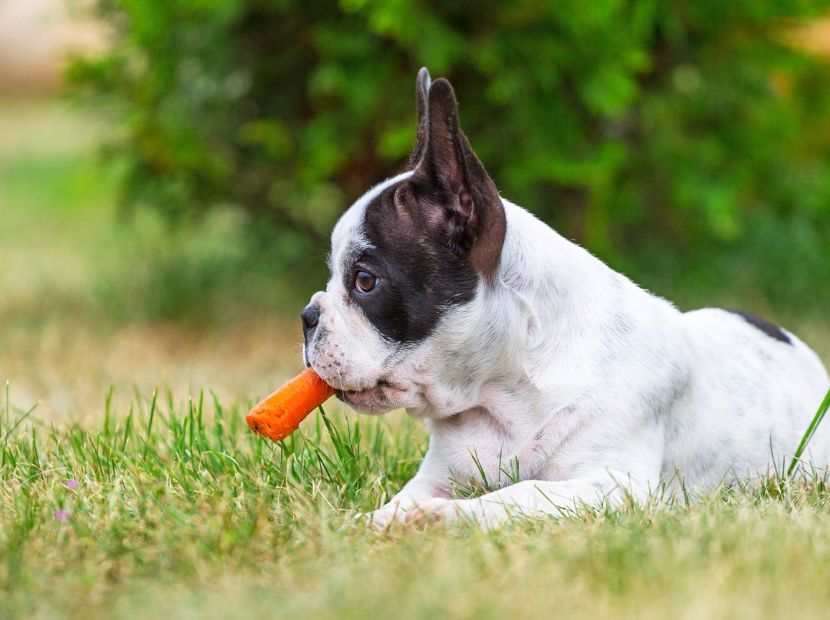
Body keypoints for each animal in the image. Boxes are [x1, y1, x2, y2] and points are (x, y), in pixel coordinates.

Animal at [300, 69, 830, 528]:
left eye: (365, 281)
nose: (307, 316)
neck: (501, 393)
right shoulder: (438, 474)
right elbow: (402, 500)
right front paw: (372, 522)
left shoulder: (614, 485)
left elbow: (519, 492)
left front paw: (444, 516)